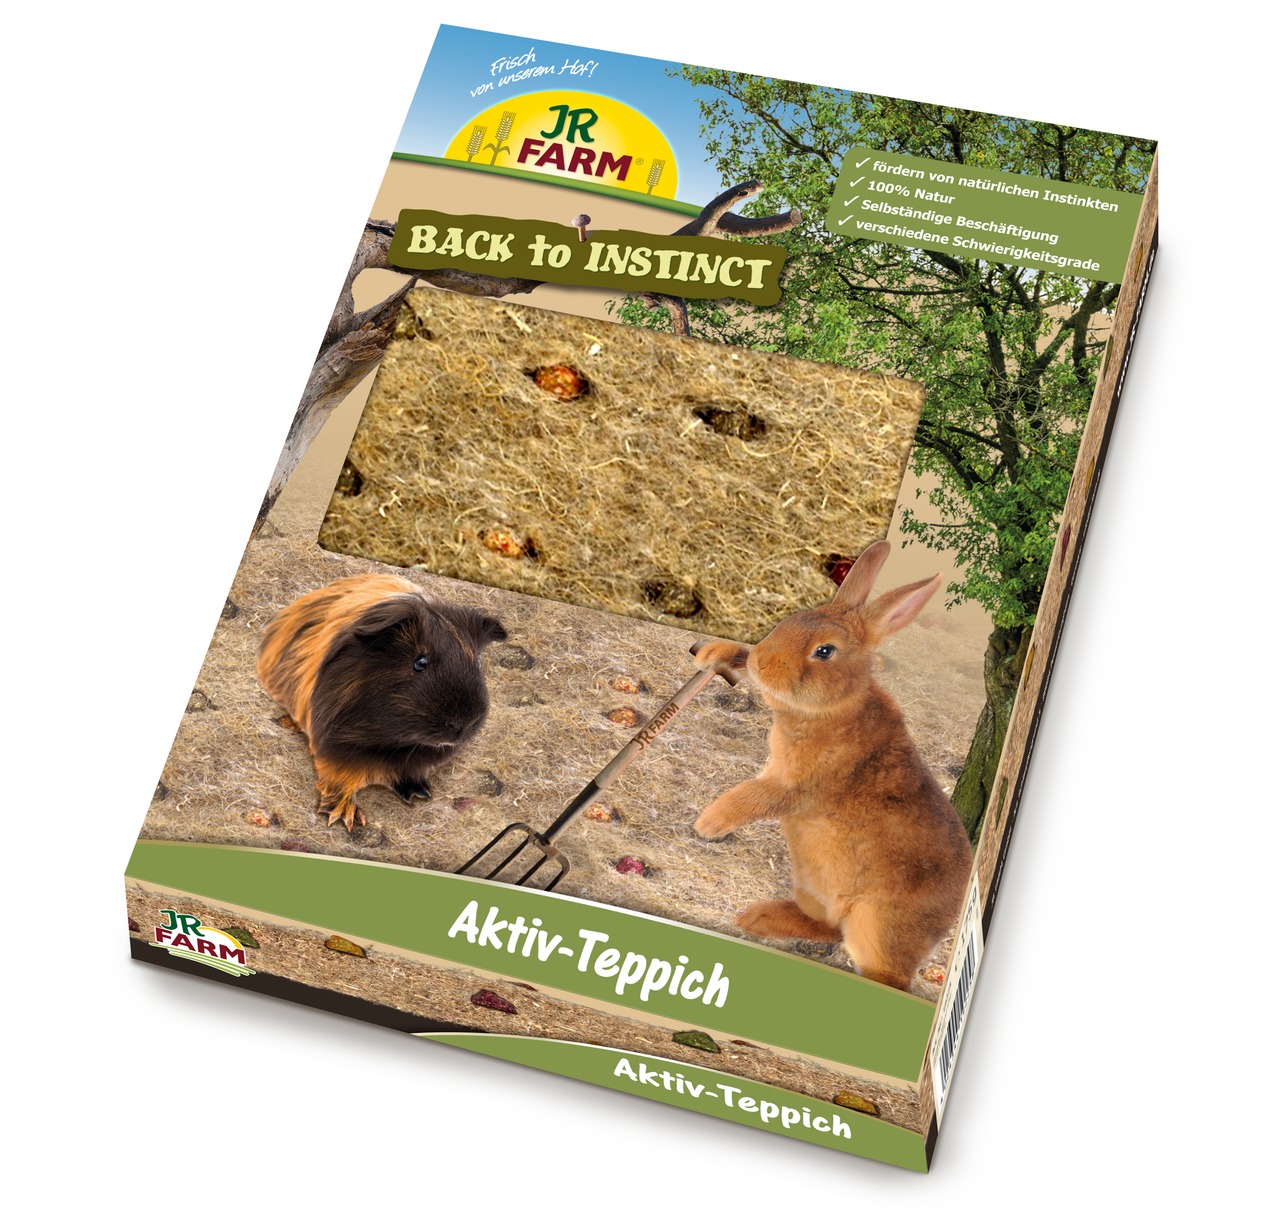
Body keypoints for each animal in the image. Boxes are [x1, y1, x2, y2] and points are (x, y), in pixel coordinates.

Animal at [256, 573, 507, 832]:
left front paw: (419, 793)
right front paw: (345, 817)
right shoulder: (335, 750)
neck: (392, 746)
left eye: (476, 662)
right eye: (420, 662)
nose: (463, 725)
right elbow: (338, 780)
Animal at [693, 540, 972, 992]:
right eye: (791, 620)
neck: (838, 706)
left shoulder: (795, 788)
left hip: (875, 928)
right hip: (814, 887)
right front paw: (717, 653)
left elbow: (752, 797)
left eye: (824, 651)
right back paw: (758, 918)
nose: (764, 662)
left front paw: (708, 823)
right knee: (826, 927)